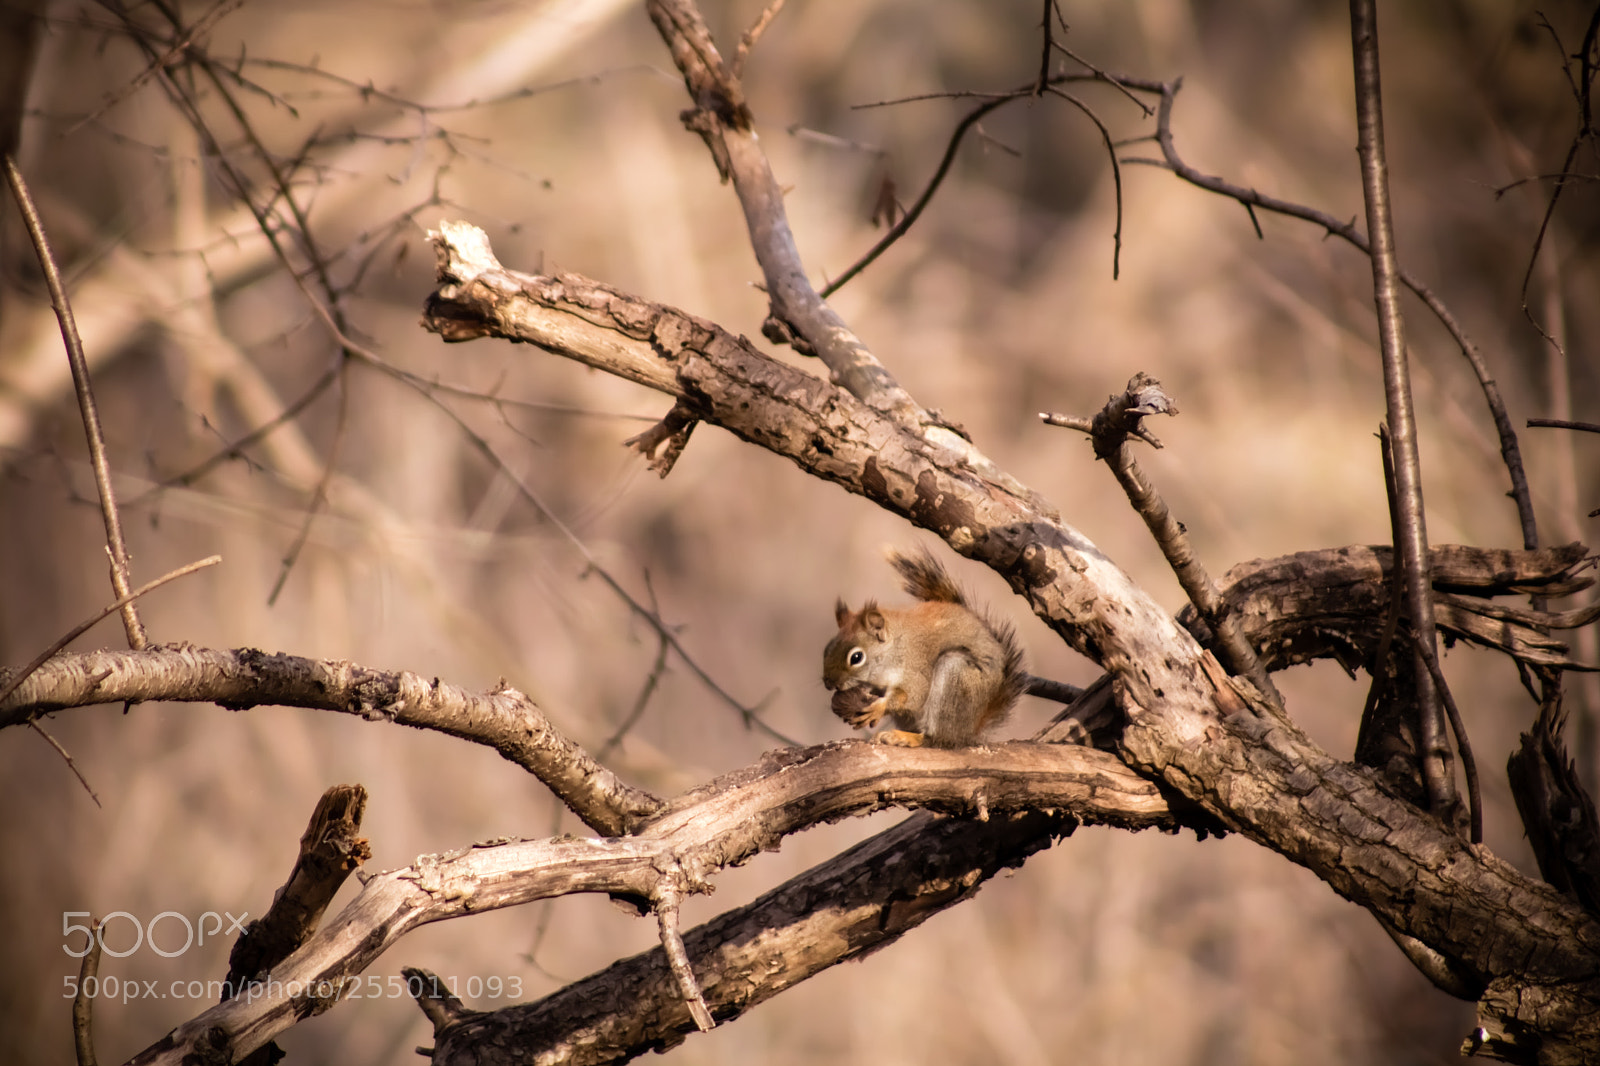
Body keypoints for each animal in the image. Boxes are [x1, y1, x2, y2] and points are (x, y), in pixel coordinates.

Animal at [822, 547, 1026, 748]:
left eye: (856, 657)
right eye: (826, 650)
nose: (828, 683)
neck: (894, 648)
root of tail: (969, 731)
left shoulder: (915, 667)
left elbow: (912, 695)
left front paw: (878, 708)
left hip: (955, 678)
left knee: (936, 739)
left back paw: (908, 738)